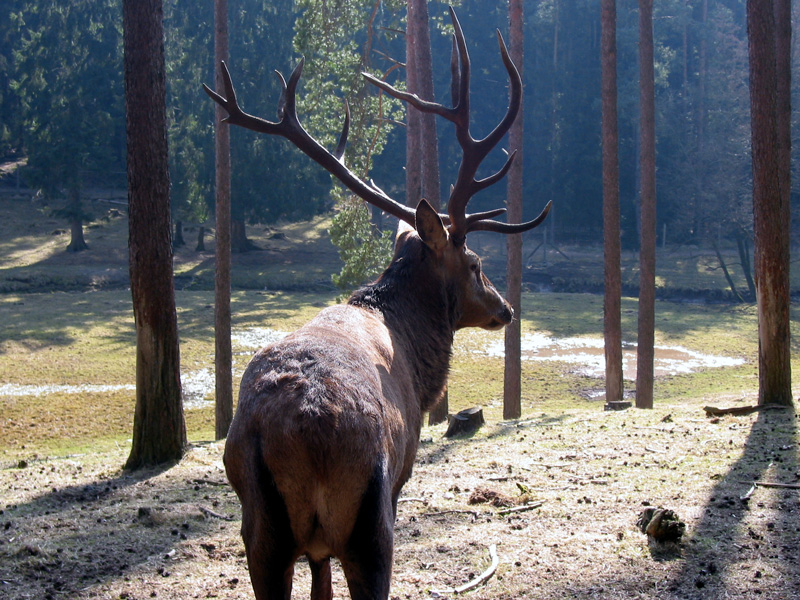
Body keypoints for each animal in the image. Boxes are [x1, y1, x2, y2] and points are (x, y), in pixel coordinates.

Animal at [203, 8, 552, 600]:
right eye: (476, 263)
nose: (505, 309)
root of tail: (302, 426)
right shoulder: (401, 473)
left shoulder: (312, 547)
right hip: (370, 516)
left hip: (260, 529)